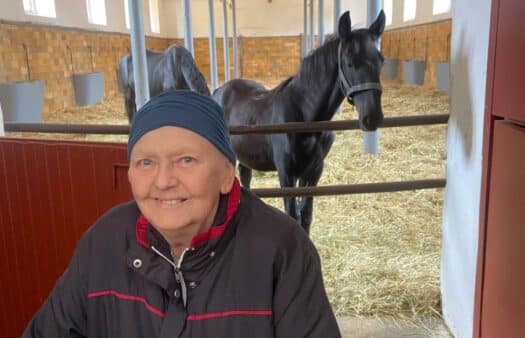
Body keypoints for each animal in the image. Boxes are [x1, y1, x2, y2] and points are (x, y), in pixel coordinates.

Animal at [213, 10, 384, 232]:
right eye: (349, 62)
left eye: (381, 61)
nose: (372, 117)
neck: (305, 116)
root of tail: (219, 91)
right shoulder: (286, 173)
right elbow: (293, 216)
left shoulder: (313, 171)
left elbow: (306, 215)